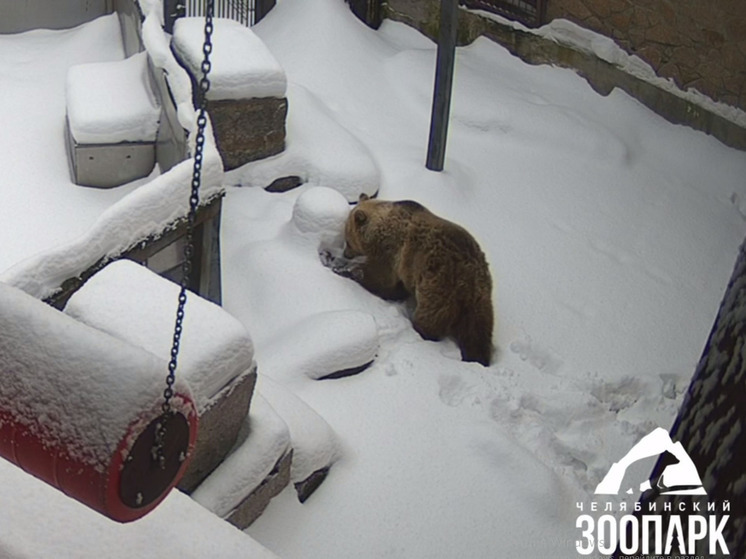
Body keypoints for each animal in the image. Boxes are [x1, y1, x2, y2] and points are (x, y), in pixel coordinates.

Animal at [326, 194, 492, 368]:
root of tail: (470, 277)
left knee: (430, 316)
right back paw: (478, 357)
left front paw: (343, 269)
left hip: (439, 285)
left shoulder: (390, 252)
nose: (345, 253)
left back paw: (420, 331)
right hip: (479, 300)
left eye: (348, 239)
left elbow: (380, 279)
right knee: (477, 330)